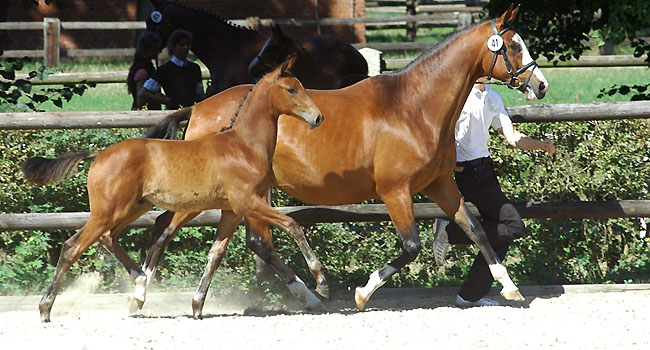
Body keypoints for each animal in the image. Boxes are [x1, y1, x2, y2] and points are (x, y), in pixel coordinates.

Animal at [22, 58, 322, 322]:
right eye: (292, 89)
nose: (318, 117)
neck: (243, 146)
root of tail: (99, 155)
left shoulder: (232, 211)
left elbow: (215, 255)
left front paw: (197, 306)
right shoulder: (248, 202)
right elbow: (293, 224)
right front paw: (321, 281)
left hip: (133, 207)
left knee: (109, 238)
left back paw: (139, 283)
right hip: (109, 211)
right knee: (73, 246)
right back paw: (45, 309)